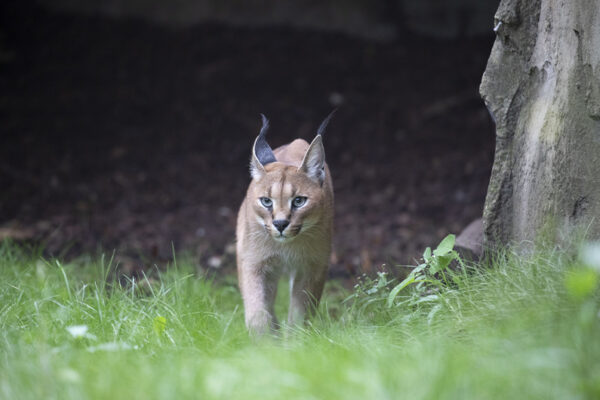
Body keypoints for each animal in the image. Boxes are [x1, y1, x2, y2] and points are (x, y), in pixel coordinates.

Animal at [237, 112, 336, 334]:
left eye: (299, 201)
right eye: (266, 201)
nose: (281, 224)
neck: (285, 248)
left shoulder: (312, 266)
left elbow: (300, 312)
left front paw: (295, 340)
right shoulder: (254, 262)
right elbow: (256, 308)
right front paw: (264, 338)